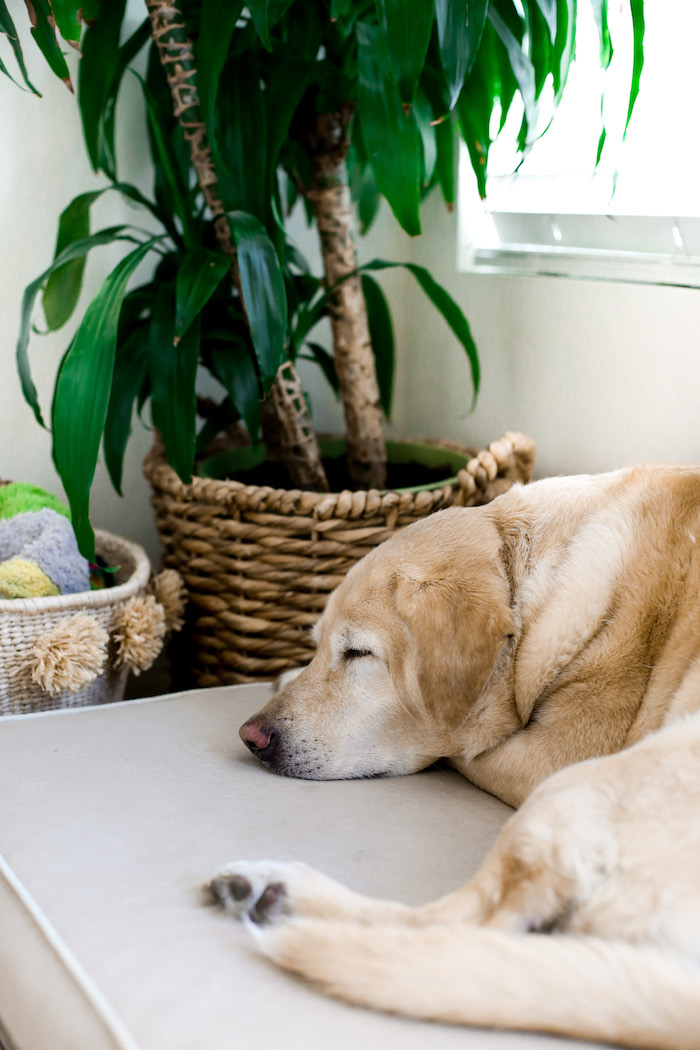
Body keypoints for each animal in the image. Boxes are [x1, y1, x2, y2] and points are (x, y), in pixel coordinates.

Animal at [207, 470, 700, 1050]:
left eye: (359, 654)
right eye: (319, 645)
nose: (251, 737)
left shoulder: (552, 757)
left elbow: (462, 745)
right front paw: (286, 673)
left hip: (579, 787)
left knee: (449, 939)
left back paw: (280, 888)